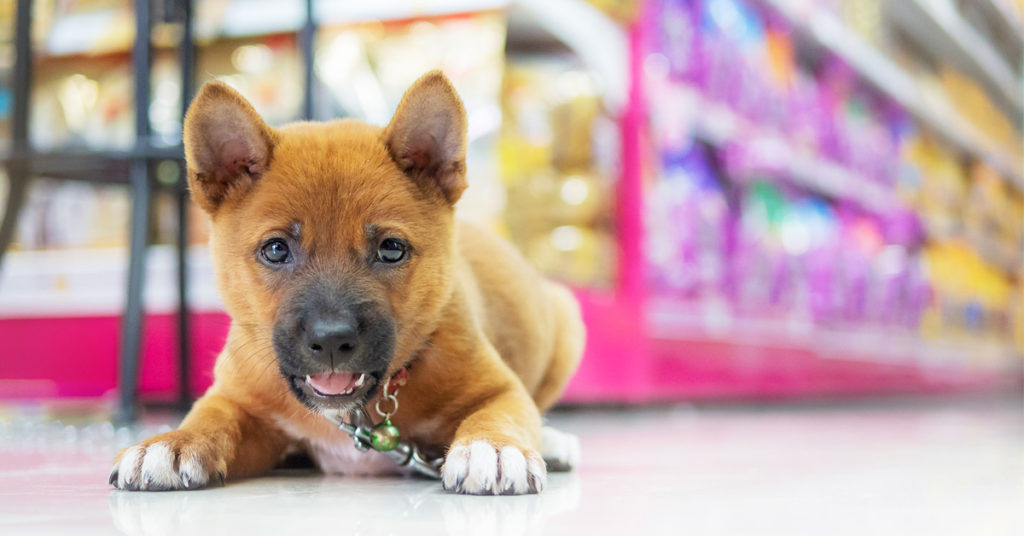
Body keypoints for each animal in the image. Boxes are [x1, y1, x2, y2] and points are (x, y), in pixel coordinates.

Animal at [110, 70, 585, 496]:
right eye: (276, 250)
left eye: (391, 249)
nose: (332, 342)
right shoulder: (238, 398)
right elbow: (210, 417)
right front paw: (171, 443)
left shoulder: (500, 388)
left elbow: (501, 415)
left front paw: (493, 448)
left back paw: (553, 440)